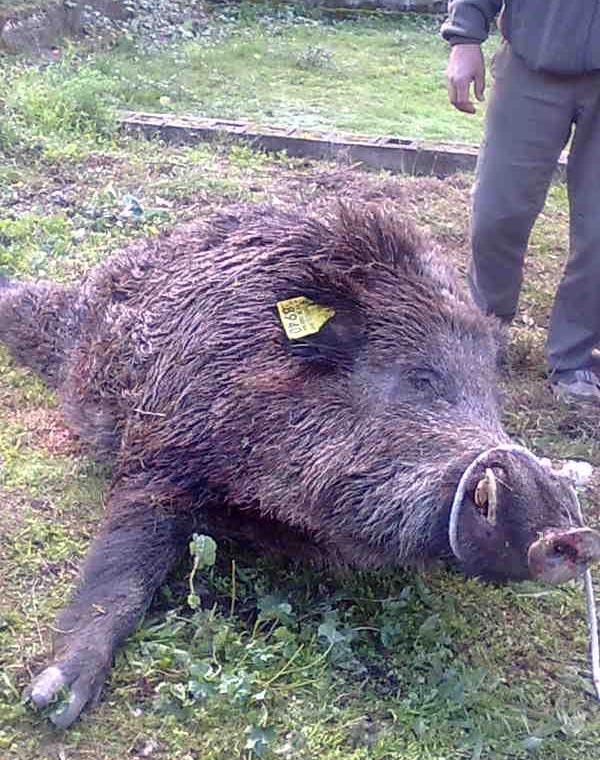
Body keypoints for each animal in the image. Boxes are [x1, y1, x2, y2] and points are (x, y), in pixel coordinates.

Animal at [0, 199, 598, 728]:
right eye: (421, 378)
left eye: (492, 398)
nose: (568, 530)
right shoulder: (160, 448)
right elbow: (125, 570)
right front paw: (51, 703)